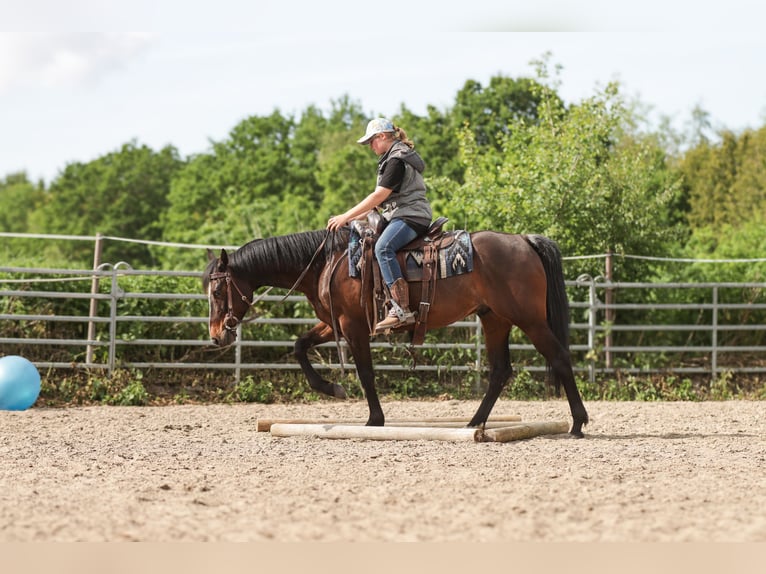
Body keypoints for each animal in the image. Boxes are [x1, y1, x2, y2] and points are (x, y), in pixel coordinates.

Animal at [203, 228, 589, 437]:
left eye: (218, 291)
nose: (217, 335)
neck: (327, 262)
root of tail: (523, 240)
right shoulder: (334, 323)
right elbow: (300, 346)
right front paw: (330, 388)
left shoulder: (354, 326)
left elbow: (366, 373)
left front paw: (374, 419)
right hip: (494, 319)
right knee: (500, 371)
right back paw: (473, 423)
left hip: (529, 320)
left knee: (559, 357)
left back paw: (577, 424)